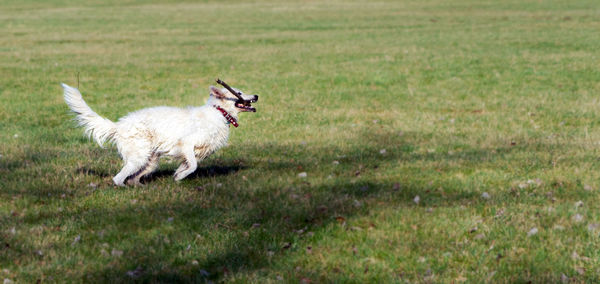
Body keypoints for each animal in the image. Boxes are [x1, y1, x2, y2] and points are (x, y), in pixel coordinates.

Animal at [62, 80, 258, 186]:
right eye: (239, 92)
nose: (256, 96)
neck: (218, 112)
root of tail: (118, 126)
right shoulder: (187, 144)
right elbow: (193, 166)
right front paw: (180, 177)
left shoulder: (195, 153)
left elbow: (187, 166)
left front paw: (178, 176)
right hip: (139, 158)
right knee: (118, 179)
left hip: (150, 161)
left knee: (132, 179)